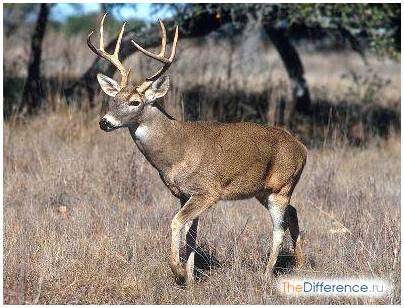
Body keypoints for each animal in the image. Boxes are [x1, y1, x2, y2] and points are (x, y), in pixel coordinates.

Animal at [87, 14, 306, 286]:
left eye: (135, 102)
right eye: (113, 99)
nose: (104, 122)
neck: (176, 152)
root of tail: (303, 148)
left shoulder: (208, 191)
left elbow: (176, 222)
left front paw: (178, 272)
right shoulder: (184, 194)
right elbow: (191, 234)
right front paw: (191, 278)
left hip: (281, 187)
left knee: (278, 228)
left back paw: (266, 274)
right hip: (264, 191)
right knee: (293, 214)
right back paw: (299, 263)